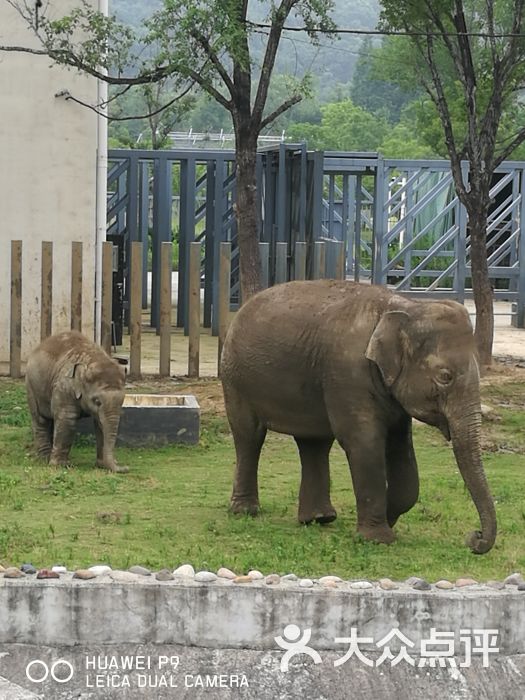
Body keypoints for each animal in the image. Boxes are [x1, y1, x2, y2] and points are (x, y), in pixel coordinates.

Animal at [26, 330, 128, 474]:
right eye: (97, 401)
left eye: (122, 401)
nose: (125, 468)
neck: (92, 359)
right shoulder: (64, 387)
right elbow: (67, 420)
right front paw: (59, 466)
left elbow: (100, 424)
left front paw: (102, 465)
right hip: (31, 386)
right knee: (40, 419)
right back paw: (44, 459)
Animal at [220, 278, 496, 552]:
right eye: (445, 376)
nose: (475, 537)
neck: (405, 307)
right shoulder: (349, 374)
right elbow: (365, 443)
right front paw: (378, 538)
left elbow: (401, 448)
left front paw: (388, 517)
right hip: (234, 378)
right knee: (249, 437)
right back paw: (246, 511)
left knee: (313, 444)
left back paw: (319, 519)